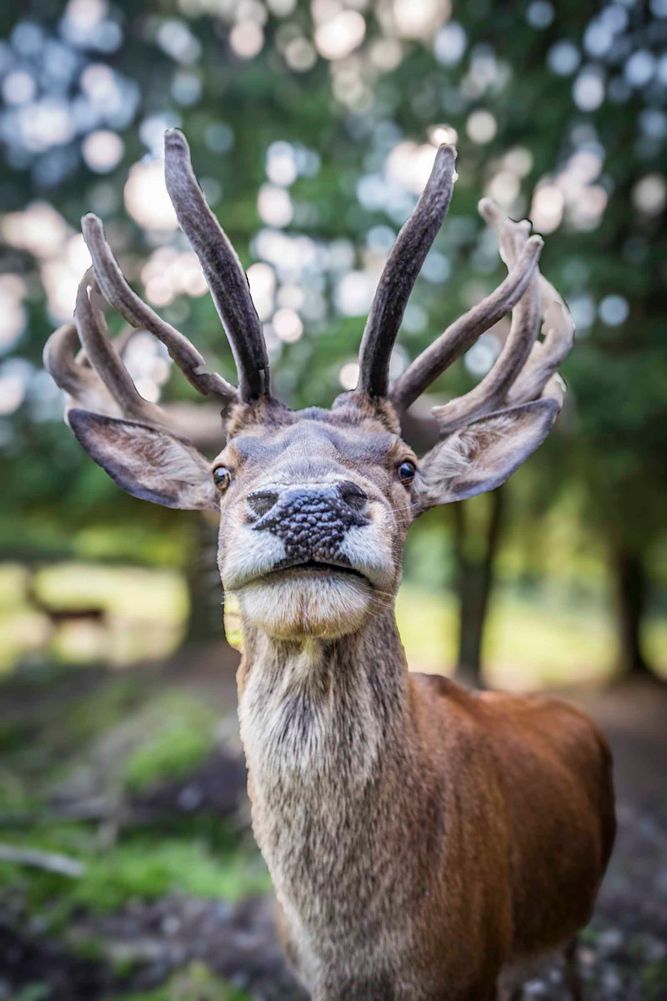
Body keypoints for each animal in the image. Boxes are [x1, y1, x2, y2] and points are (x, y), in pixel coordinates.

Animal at [44, 130, 616, 1001]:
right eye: (221, 471)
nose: (309, 503)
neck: (364, 956)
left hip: (574, 917)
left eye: (405, 464)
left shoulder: (471, 967)